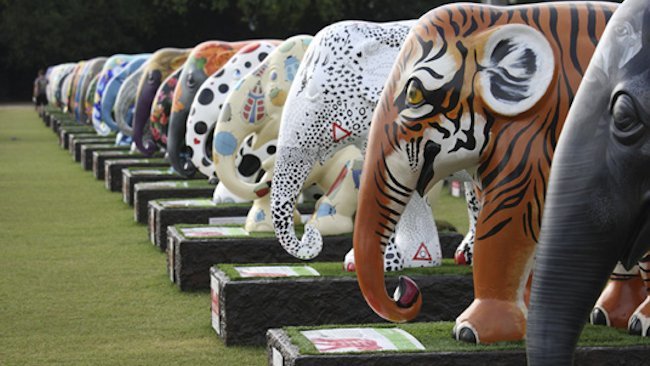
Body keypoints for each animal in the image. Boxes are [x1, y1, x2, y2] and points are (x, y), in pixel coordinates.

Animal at [352, 1, 616, 344]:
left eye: (414, 94)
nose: (404, 287)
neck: (497, 20)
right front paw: (525, 319)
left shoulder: (530, 136)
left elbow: (506, 221)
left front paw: (471, 331)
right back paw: (614, 317)